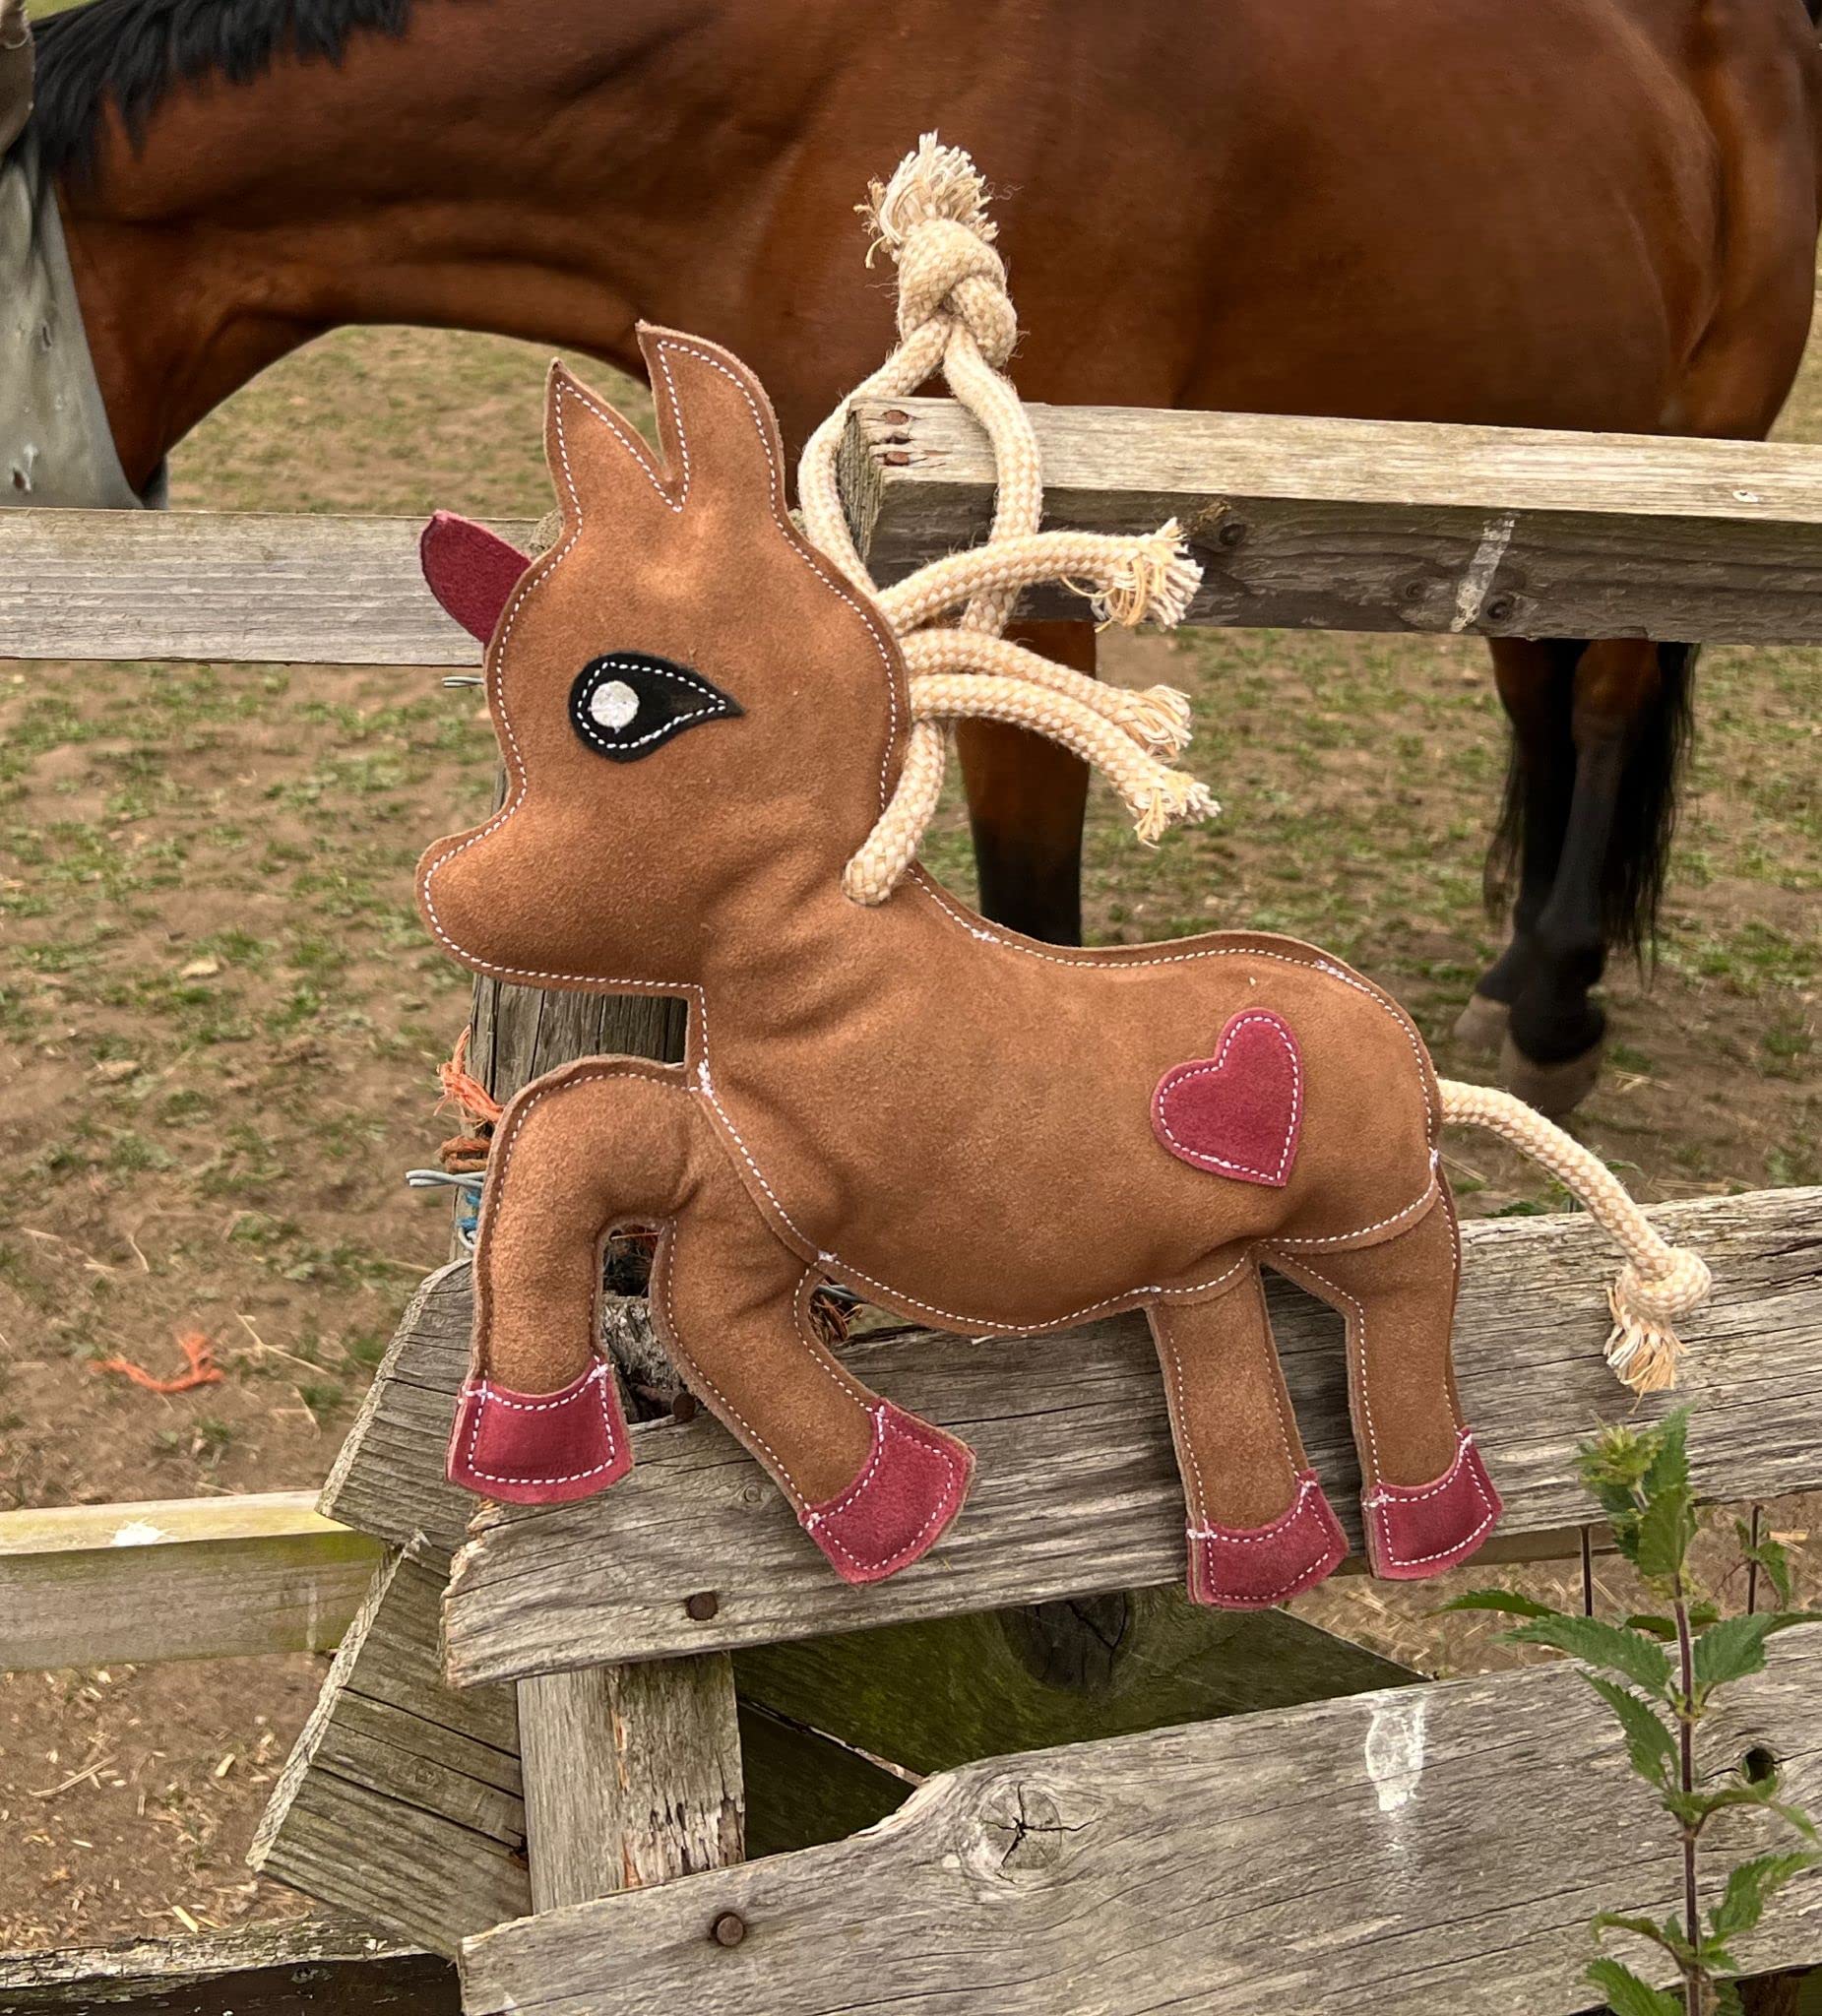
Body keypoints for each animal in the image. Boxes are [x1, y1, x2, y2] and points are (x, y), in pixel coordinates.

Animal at [12, 0, 1822, 1111]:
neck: (801, 93)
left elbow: (1031, 903)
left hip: (1689, 451)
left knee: (1605, 699)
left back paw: (1555, 1004)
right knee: (1539, 688)